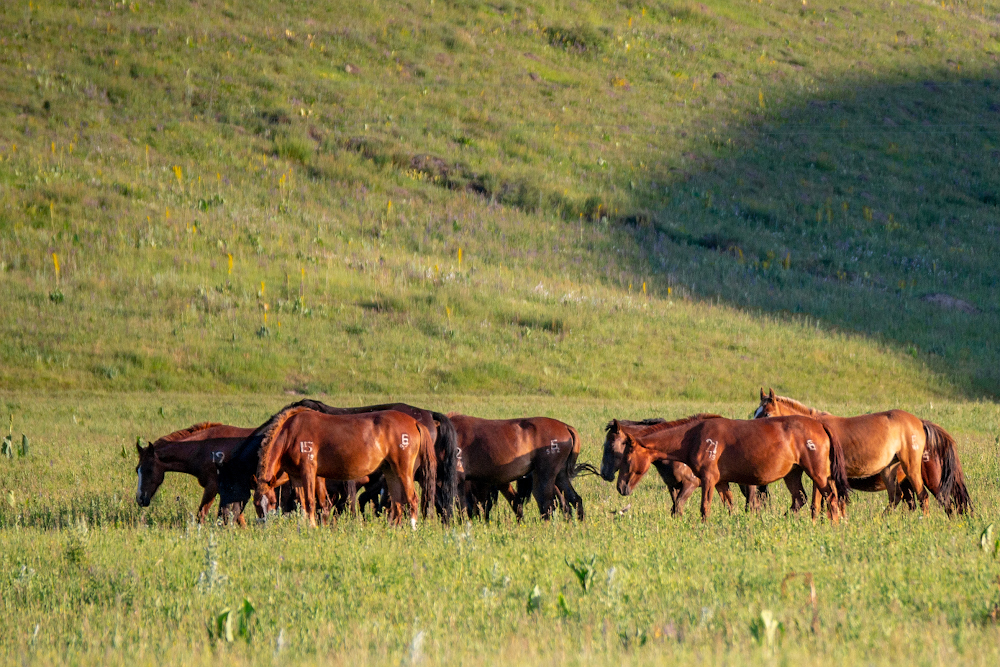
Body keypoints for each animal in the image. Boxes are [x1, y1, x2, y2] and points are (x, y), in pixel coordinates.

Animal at [254, 408, 430, 528]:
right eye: (256, 504)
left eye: (272, 502)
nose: (263, 526)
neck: (291, 432)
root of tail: (415, 422)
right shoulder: (296, 476)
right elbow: (302, 502)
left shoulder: (308, 471)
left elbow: (310, 501)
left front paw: (312, 527)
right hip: (390, 471)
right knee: (398, 502)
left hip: (403, 470)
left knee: (412, 499)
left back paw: (412, 529)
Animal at [450, 412, 588, 520]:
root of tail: (565, 426)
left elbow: (463, 506)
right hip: (559, 476)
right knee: (574, 500)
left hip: (545, 475)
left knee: (547, 503)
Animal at [612, 418, 848, 520]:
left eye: (626, 458)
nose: (621, 487)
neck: (694, 436)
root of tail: (821, 425)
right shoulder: (721, 482)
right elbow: (730, 506)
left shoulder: (708, 479)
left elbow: (704, 507)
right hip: (793, 474)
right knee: (801, 499)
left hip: (817, 473)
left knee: (832, 498)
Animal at [752, 386, 972, 516]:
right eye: (755, 412)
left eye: (767, 414)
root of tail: (920, 422)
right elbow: (824, 505)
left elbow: (821, 505)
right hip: (889, 471)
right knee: (898, 498)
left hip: (918, 473)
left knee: (931, 499)